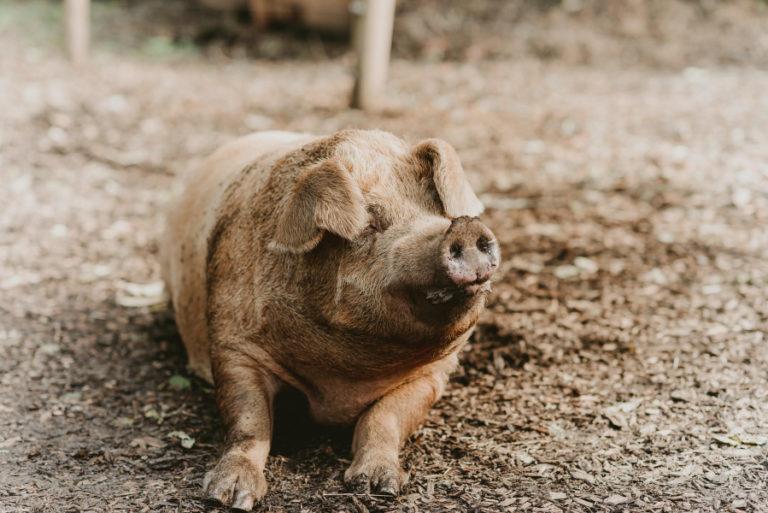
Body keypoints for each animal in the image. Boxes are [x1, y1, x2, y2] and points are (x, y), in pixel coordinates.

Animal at [159, 128, 500, 508]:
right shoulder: (233, 345)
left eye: (438, 211)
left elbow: (384, 417)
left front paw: (379, 487)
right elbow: (250, 419)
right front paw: (228, 496)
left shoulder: (435, 373)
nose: (464, 227)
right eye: (369, 224)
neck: (343, 384)